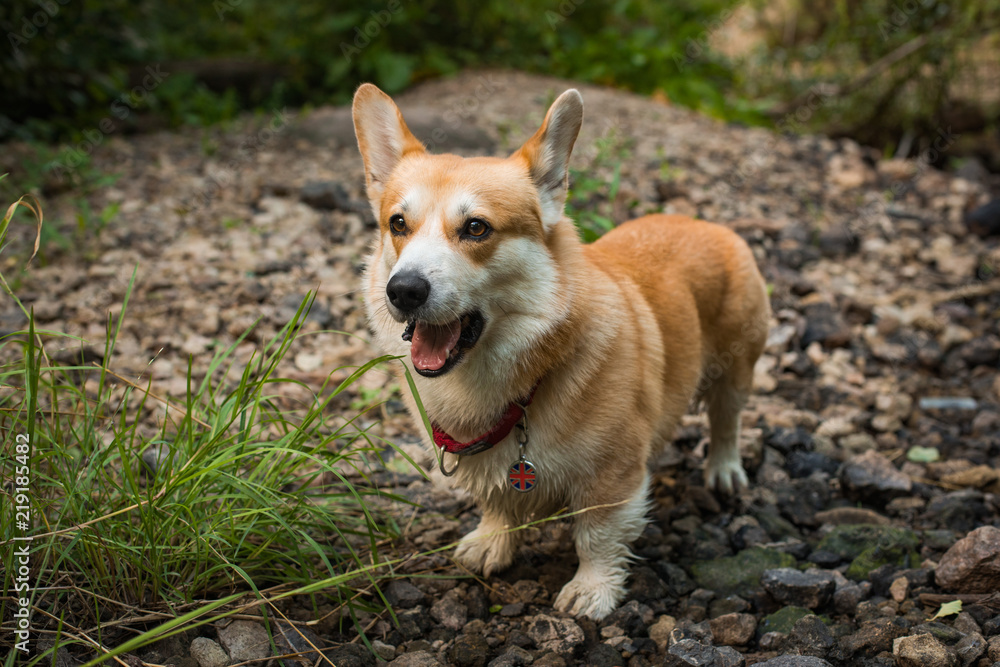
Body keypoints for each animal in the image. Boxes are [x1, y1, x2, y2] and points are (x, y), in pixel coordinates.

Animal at [356, 83, 768, 620]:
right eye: (398, 223)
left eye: (476, 228)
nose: (403, 290)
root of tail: (704, 223)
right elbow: (497, 504)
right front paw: (491, 542)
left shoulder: (613, 476)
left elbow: (597, 537)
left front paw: (592, 592)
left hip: (736, 368)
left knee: (726, 420)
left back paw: (724, 471)